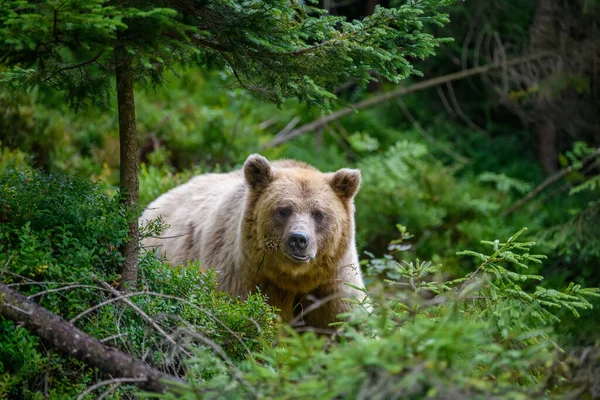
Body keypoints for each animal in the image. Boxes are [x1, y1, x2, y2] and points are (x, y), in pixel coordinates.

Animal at [141, 153, 366, 328]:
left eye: (319, 213)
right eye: (283, 210)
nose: (299, 239)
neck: (295, 279)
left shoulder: (333, 282)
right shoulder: (245, 277)